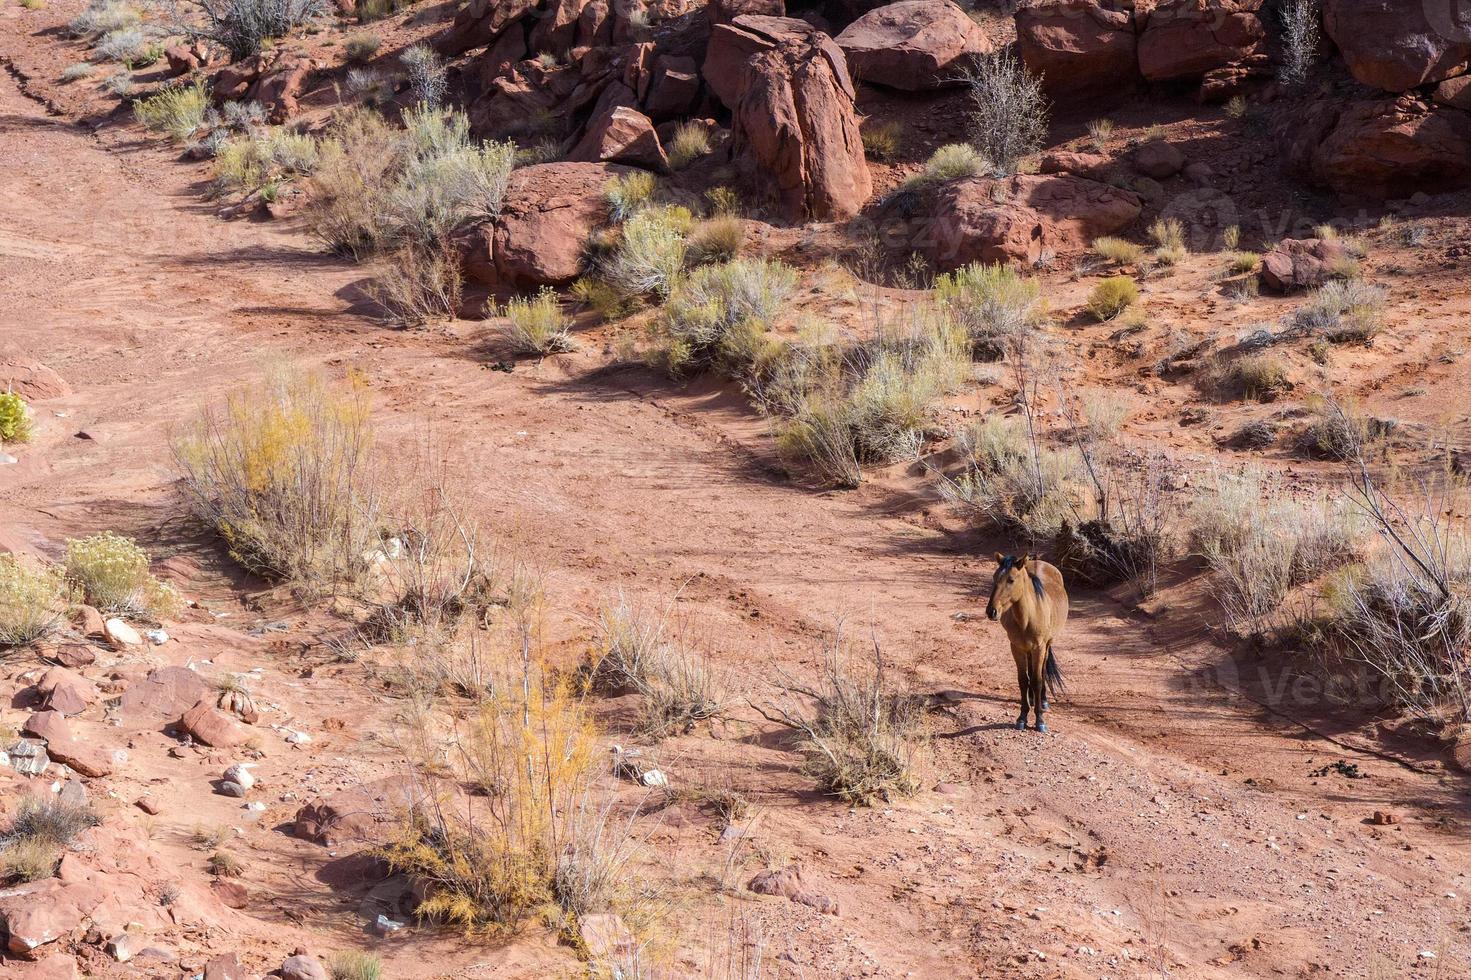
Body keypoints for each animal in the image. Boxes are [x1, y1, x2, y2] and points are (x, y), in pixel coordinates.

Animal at [985, 553, 1069, 732]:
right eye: (995, 577)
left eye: (1011, 580)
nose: (991, 611)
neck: (1028, 617)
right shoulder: (1016, 647)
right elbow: (1023, 680)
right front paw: (1022, 717)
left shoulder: (1039, 647)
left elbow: (1037, 680)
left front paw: (1040, 720)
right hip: (1028, 650)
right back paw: (1031, 699)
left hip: (1046, 645)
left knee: (1042, 671)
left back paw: (1042, 700)